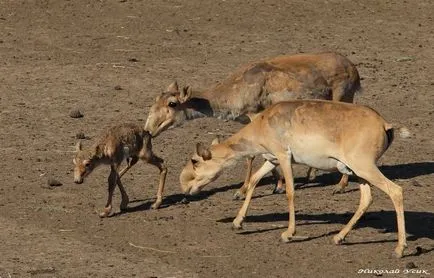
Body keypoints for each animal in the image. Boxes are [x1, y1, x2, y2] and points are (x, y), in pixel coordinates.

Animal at [178, 100, 408, 258]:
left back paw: (399, 249)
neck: (263, 124)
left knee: (396, 191)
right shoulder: (271, 160)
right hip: (358, 172)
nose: (184, 186)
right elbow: (253, 181)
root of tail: (384, 124)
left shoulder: (284, 157)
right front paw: (237, 222)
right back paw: (339, 237)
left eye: (194, 161)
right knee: (366, 198)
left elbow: (290, 192)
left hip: (365, 168)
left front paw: (288, 234)